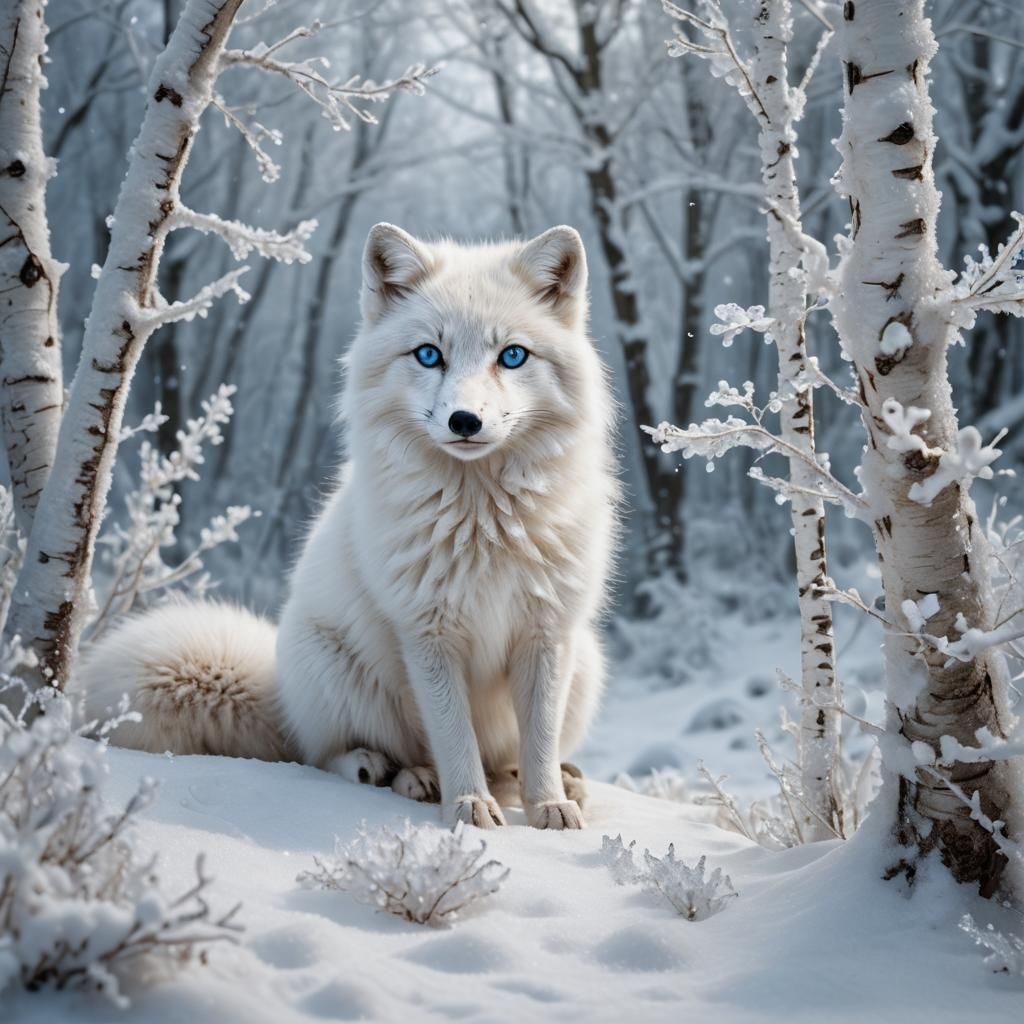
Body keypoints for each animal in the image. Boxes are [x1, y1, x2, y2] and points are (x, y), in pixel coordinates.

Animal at [72, 223, 619, 830]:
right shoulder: (426, 633)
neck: (484, 523)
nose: (465, 421)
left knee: (507, 759)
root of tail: (280, 691)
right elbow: (455, 737)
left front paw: (547, 806)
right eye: (429, 355)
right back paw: (396, 773)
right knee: (328, 754)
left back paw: (553, 781)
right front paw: (468, 807)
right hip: (334, 670)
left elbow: (539, 739)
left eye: (513, 356)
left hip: (586, 662)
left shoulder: (547, 633)